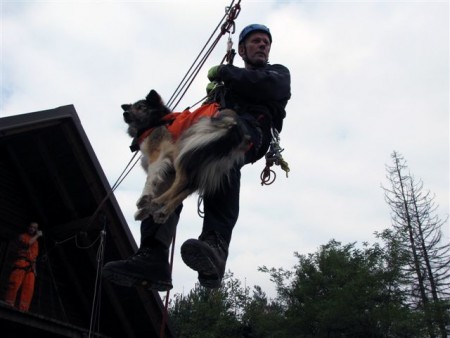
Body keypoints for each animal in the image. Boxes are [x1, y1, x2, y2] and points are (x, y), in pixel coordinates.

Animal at [121, 89, 251, 224]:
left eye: (142, 107)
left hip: (185, 147)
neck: (158, 121)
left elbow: (151, 178)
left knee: (182, 181)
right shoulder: (169, 171)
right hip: (207, 165)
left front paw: (145, 198)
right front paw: (146, 210)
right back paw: (163, 209)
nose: (125, 113)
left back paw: (158, 202)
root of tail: (236, 128)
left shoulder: (160, 153)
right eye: (131, 107)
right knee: (185, 189)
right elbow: (161, 185)